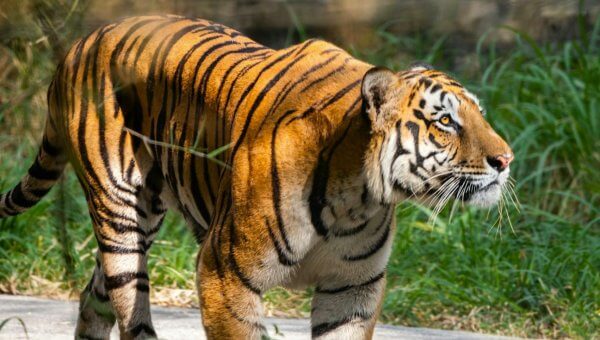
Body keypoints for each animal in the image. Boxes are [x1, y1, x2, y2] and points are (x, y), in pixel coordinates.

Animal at [1, 15, 510, 340]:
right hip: (120, 212)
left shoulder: (352, 290)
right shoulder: (223, 273)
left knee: (93, 296)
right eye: (445, 122)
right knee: (131, 312)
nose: (505, 160)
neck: (358, 198)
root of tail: (80, 43)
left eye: (480, 115)